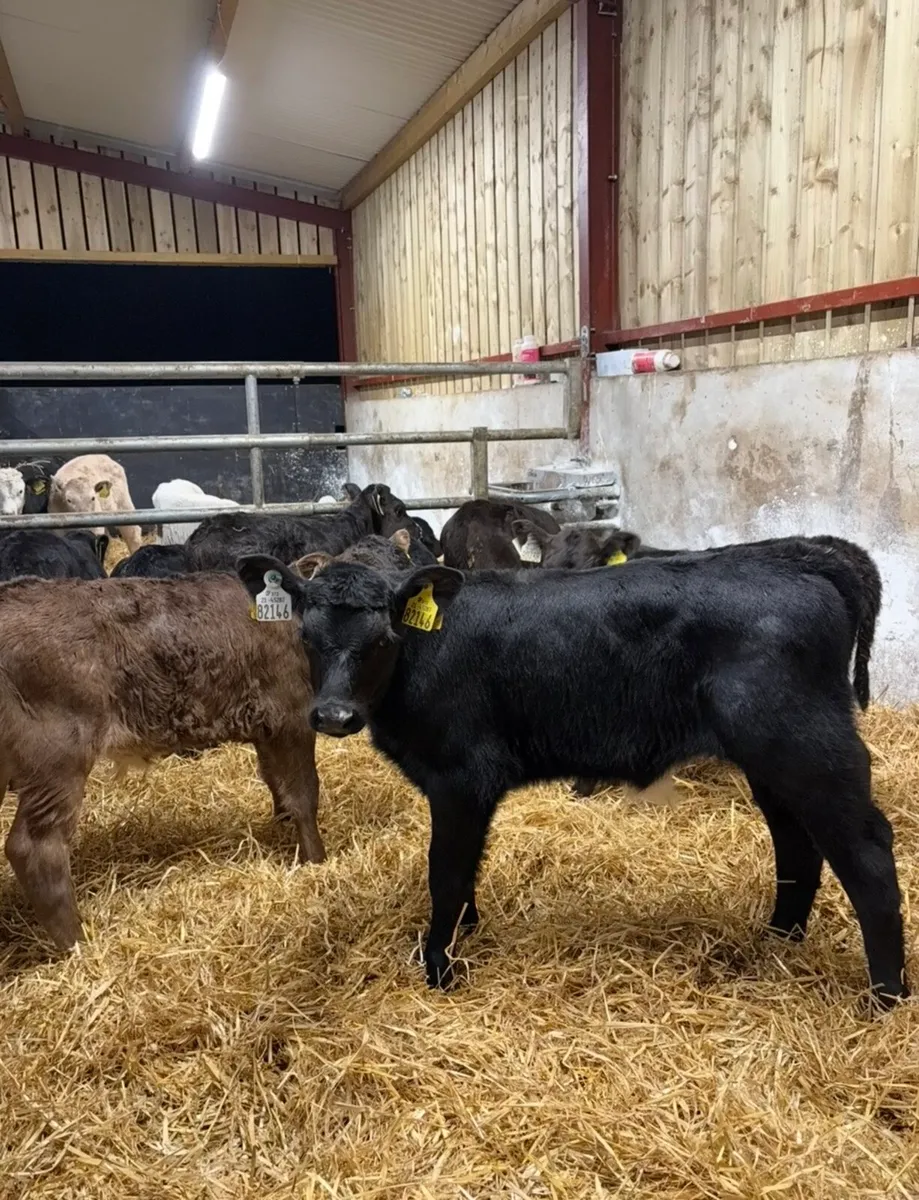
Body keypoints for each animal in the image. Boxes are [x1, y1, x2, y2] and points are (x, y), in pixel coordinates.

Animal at [236, 539, 908, 1009]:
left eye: (382, 636)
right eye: (305, 634)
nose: (334, 715)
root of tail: (799, 557)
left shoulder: (461, 776)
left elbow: (446, 872)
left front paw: (439, 970)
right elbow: (466, 868)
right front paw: (466, 934)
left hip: (808, 744)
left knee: (865, 853)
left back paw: (886, 1000)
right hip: (771, 757)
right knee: (797, 843)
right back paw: (777, 942)